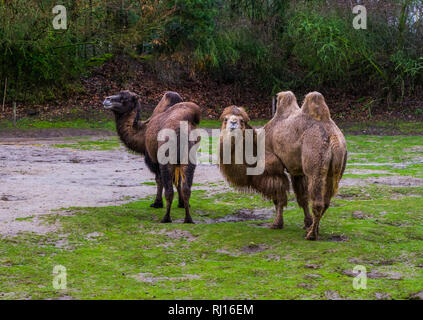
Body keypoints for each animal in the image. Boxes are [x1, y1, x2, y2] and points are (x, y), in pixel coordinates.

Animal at [103, 90, 201, 224]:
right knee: (186, 188)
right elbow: (178, 181)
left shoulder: (153, 160)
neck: (142, 133)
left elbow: (159, 180)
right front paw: (182, 204)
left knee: (168, 189)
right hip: (189, 157)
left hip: (166, 158)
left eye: (125, 98)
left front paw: (157, 203)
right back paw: (188, 219)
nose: (106, 99)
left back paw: (166, 218)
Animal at [266, 91, 350, 239]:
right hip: (338, 164)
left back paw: (311, 235)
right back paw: (312, 229)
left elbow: (279, 195)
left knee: (317, 200)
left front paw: (276, 224)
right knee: (326, 200)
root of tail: (333, 138)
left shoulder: (275, 163)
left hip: (315, 161)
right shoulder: (296, 170)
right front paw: (306, 222)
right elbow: (302, 197)